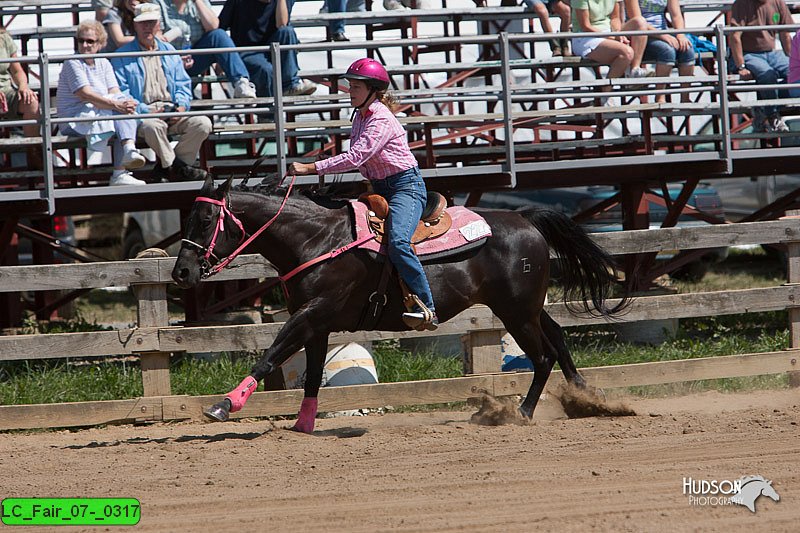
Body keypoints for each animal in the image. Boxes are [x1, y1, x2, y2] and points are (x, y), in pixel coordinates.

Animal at [172, 172, 628, 430]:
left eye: (207, 220)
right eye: (188, 218)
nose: (182, 273)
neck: (318, 239)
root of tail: (526, 219)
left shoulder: (311, 313)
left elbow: (270, 355)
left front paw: (223, 405)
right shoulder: (317, 322)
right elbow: (314, 372)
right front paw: (303, 424)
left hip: (516, 311)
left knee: (543, 355)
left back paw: (523, 414)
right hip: (525, 307)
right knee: (559, 339)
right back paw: (587, 398)